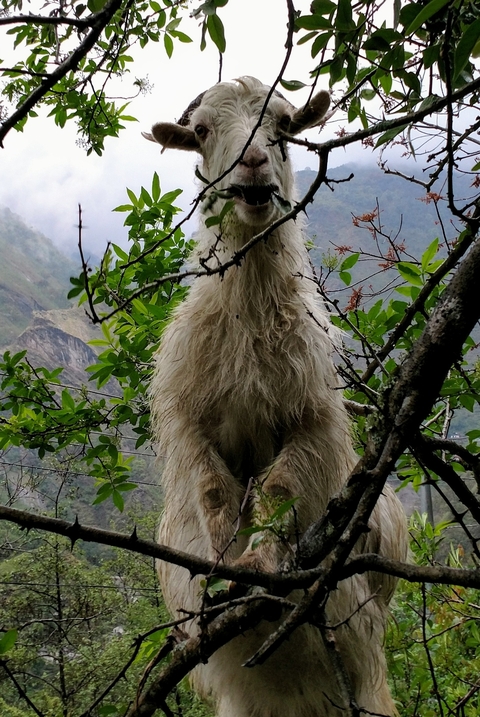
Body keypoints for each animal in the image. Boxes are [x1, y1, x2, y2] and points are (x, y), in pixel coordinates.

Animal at [146, 76, 408, 717]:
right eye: (203, 131)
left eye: (285, 125)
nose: (254, 163)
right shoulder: (189, 419)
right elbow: (215, 491)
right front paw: (223, 570)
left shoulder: (312, 417)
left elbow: (282, 486)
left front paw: (259, 563)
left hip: (361, 662)